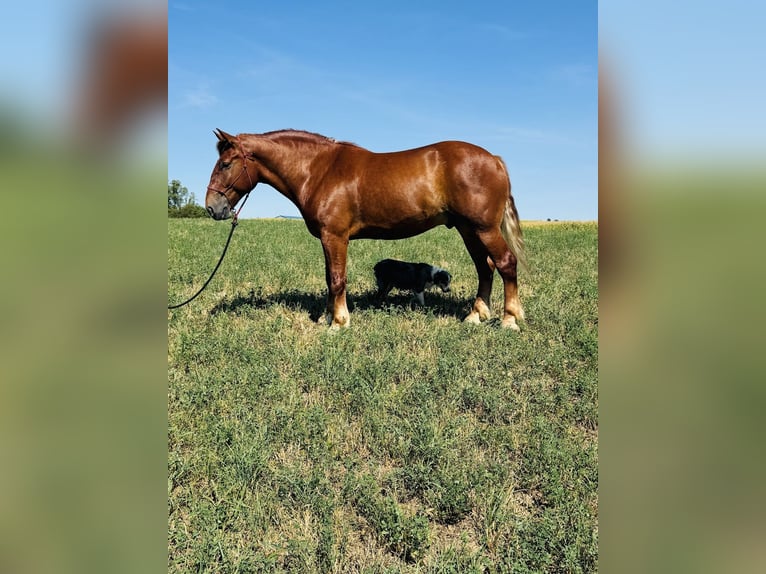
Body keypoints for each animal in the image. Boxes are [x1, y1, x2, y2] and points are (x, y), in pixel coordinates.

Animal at [205, 129, 526, 330]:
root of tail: (494, 159)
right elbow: (329, 279)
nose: (211, 207)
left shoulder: (335, 237)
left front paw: (339, 322)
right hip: (468, 229)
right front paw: (327, 317)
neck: (319, 170)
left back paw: (509, 319)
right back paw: (476, 315)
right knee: (485, 268)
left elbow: (337, 279)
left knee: (505, 263)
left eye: (225, 164)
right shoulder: (328, 239)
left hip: (483, 228)